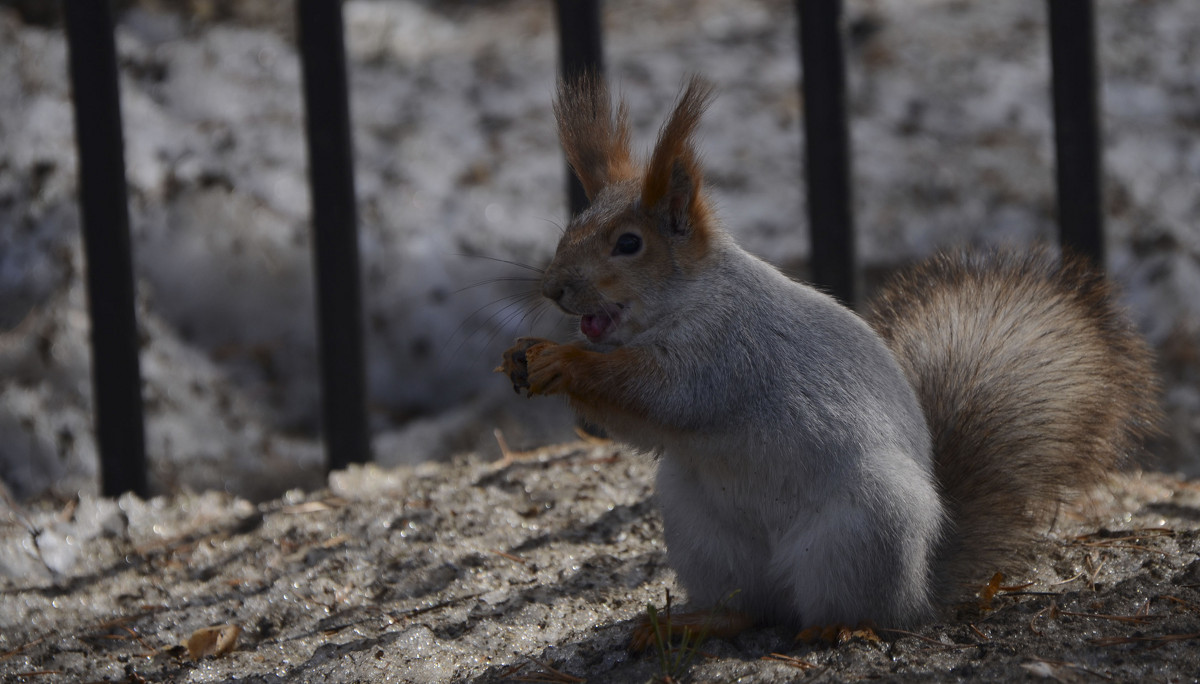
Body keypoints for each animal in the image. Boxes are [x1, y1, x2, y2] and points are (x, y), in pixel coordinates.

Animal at [492, 74, 1156, 633]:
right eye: (569, 229)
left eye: (628, 244)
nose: (553, 288)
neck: (690, 299)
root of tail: (923, 584)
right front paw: (525, 355)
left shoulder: (728, 352)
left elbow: (669, 395)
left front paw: (562, 361)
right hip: (699, 527)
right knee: (750, 609)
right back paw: (692, 623)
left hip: (862, 528)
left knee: (849, 611)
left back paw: (837, 629)